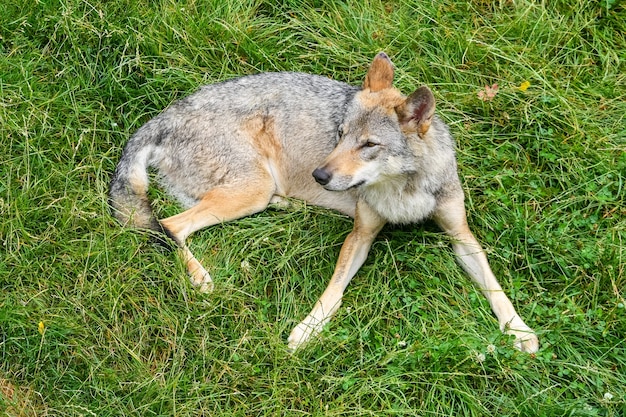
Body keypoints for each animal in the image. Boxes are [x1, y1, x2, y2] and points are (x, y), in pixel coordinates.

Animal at [108, 52, 536, 352]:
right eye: (341, 134)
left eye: (368, 145)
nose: (320, 175)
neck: (404, 190)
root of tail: (161, 117)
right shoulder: (361, 235)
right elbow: (333, 290)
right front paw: (308, 329)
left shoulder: (459, 234)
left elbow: (495, 287)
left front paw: (519, 330)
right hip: (250, 191)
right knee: (167, 228)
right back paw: (201, 279)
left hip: (257, 193)